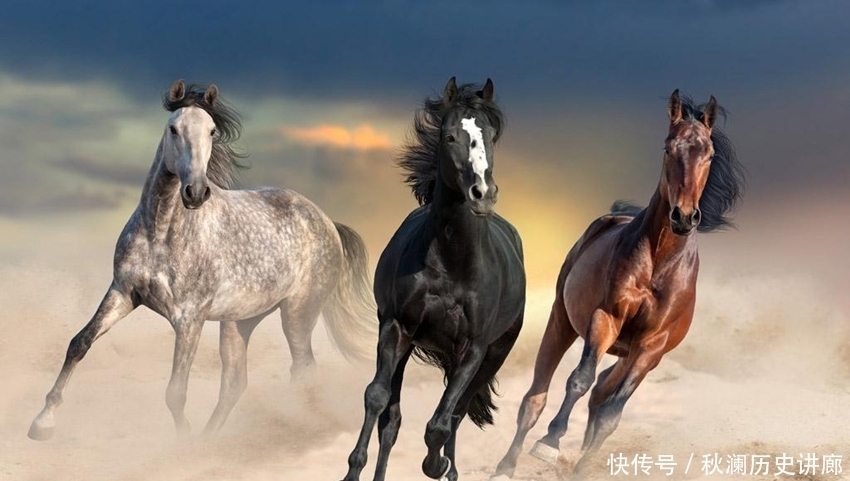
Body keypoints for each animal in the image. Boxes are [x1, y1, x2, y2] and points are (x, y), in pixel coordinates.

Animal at [28, 79, 376, 441]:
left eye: (211, 131)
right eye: (174, 129)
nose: (195, 192)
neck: (160, 233)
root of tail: (327, 222)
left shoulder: (189, 318)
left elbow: (175, 392)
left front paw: (184, 443)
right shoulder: (123, 293)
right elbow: (79, 344)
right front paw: (42, 422)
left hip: (297, 314)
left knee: (303, 370)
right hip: (239, 322)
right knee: (236, 382)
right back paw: (213, 439)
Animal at [340, 77, 526, 481]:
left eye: (490, 135)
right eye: (450, 136)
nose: (483, 194)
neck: (452, 264)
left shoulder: (474, 348)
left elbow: (442, 423)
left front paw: (436, 463)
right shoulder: (396, 327)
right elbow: (377, 399)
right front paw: (353, 471)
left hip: (493, 355)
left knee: (457, 413)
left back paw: (448, 468)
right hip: (409, 343)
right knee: (392, 420)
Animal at [492, 90, 746, 479]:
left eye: (709, 153)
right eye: (668, 148)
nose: (684, 217)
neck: (659, 261)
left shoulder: (651, 346)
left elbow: (612, 411)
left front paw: (583, 466)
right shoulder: (606, 318)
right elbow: (579, 379)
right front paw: (550, 443)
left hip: (630, 355)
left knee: (602, 392)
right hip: (562, 320)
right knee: (537, 395)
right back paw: (507, 465)